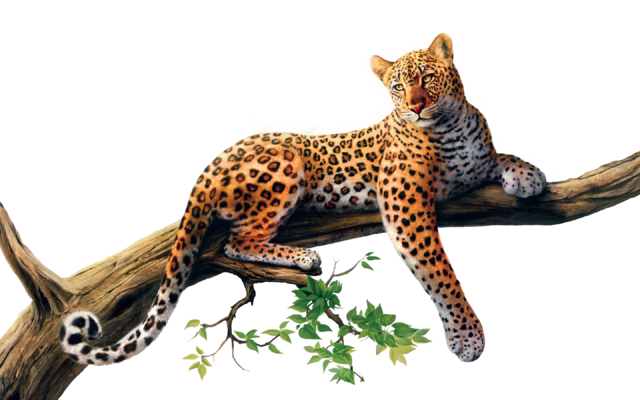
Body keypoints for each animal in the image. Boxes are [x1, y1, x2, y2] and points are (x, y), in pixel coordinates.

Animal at [59, 32, 546, 366]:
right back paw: (305, 257)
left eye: (427, 77)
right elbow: (441, 274)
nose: (416, 106)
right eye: (397, 87)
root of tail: (209, 167)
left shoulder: (474, 163)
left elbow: (498, 156)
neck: (450, 126)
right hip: (285, 165)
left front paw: (530, 175)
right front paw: (467, 336)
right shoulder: (406, 206)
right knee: (238, 240)